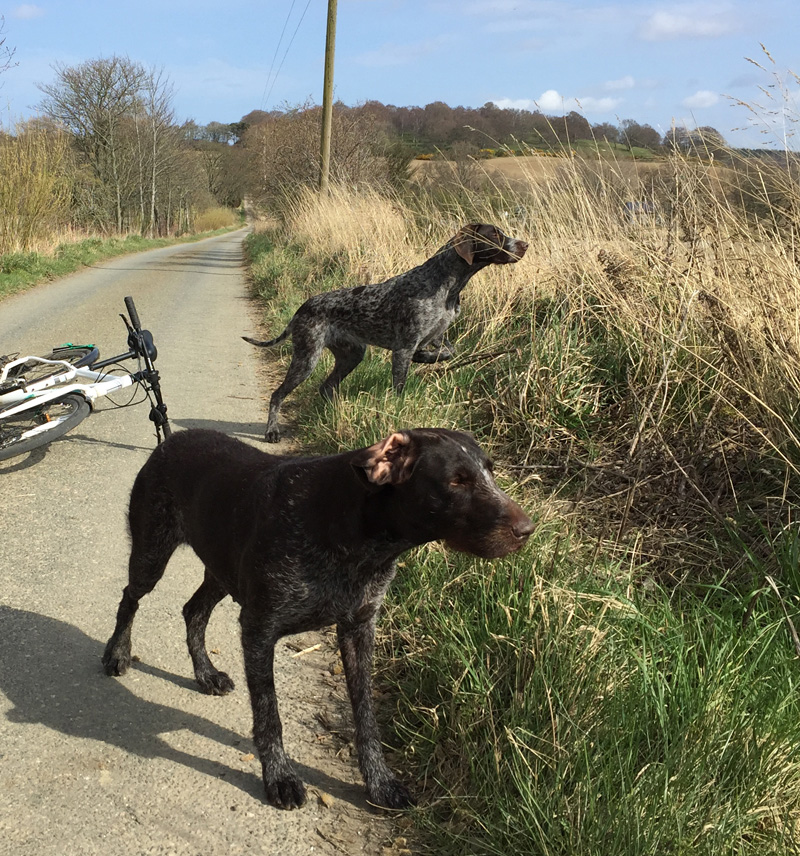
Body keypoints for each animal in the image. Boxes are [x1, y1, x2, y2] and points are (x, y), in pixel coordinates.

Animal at [103, 426, 536, 808]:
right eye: (457, 481)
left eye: (490, 471)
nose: (528, 530)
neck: (356, 535)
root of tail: (169, 440)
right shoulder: (259, 630)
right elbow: (269, 716)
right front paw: (279, 777)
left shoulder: (359, 629)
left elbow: (366, 718)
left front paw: (380, 782)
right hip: (151, 554)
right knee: (129, 599)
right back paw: (118, 652)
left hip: (222, 574)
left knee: (193, 610)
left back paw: (205, 672)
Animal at [247, 224, 528, 442]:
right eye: (494, 234)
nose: (524, 244)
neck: (448, 284)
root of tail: (302, 308)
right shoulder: (403, 348)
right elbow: (400, 387)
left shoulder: (437, 336)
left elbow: (448, 351)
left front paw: (425, 358)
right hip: (307, 357)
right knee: (278, 395)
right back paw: (272, 431)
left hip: (352, 355)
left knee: (326, 387)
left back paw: (335, 413)